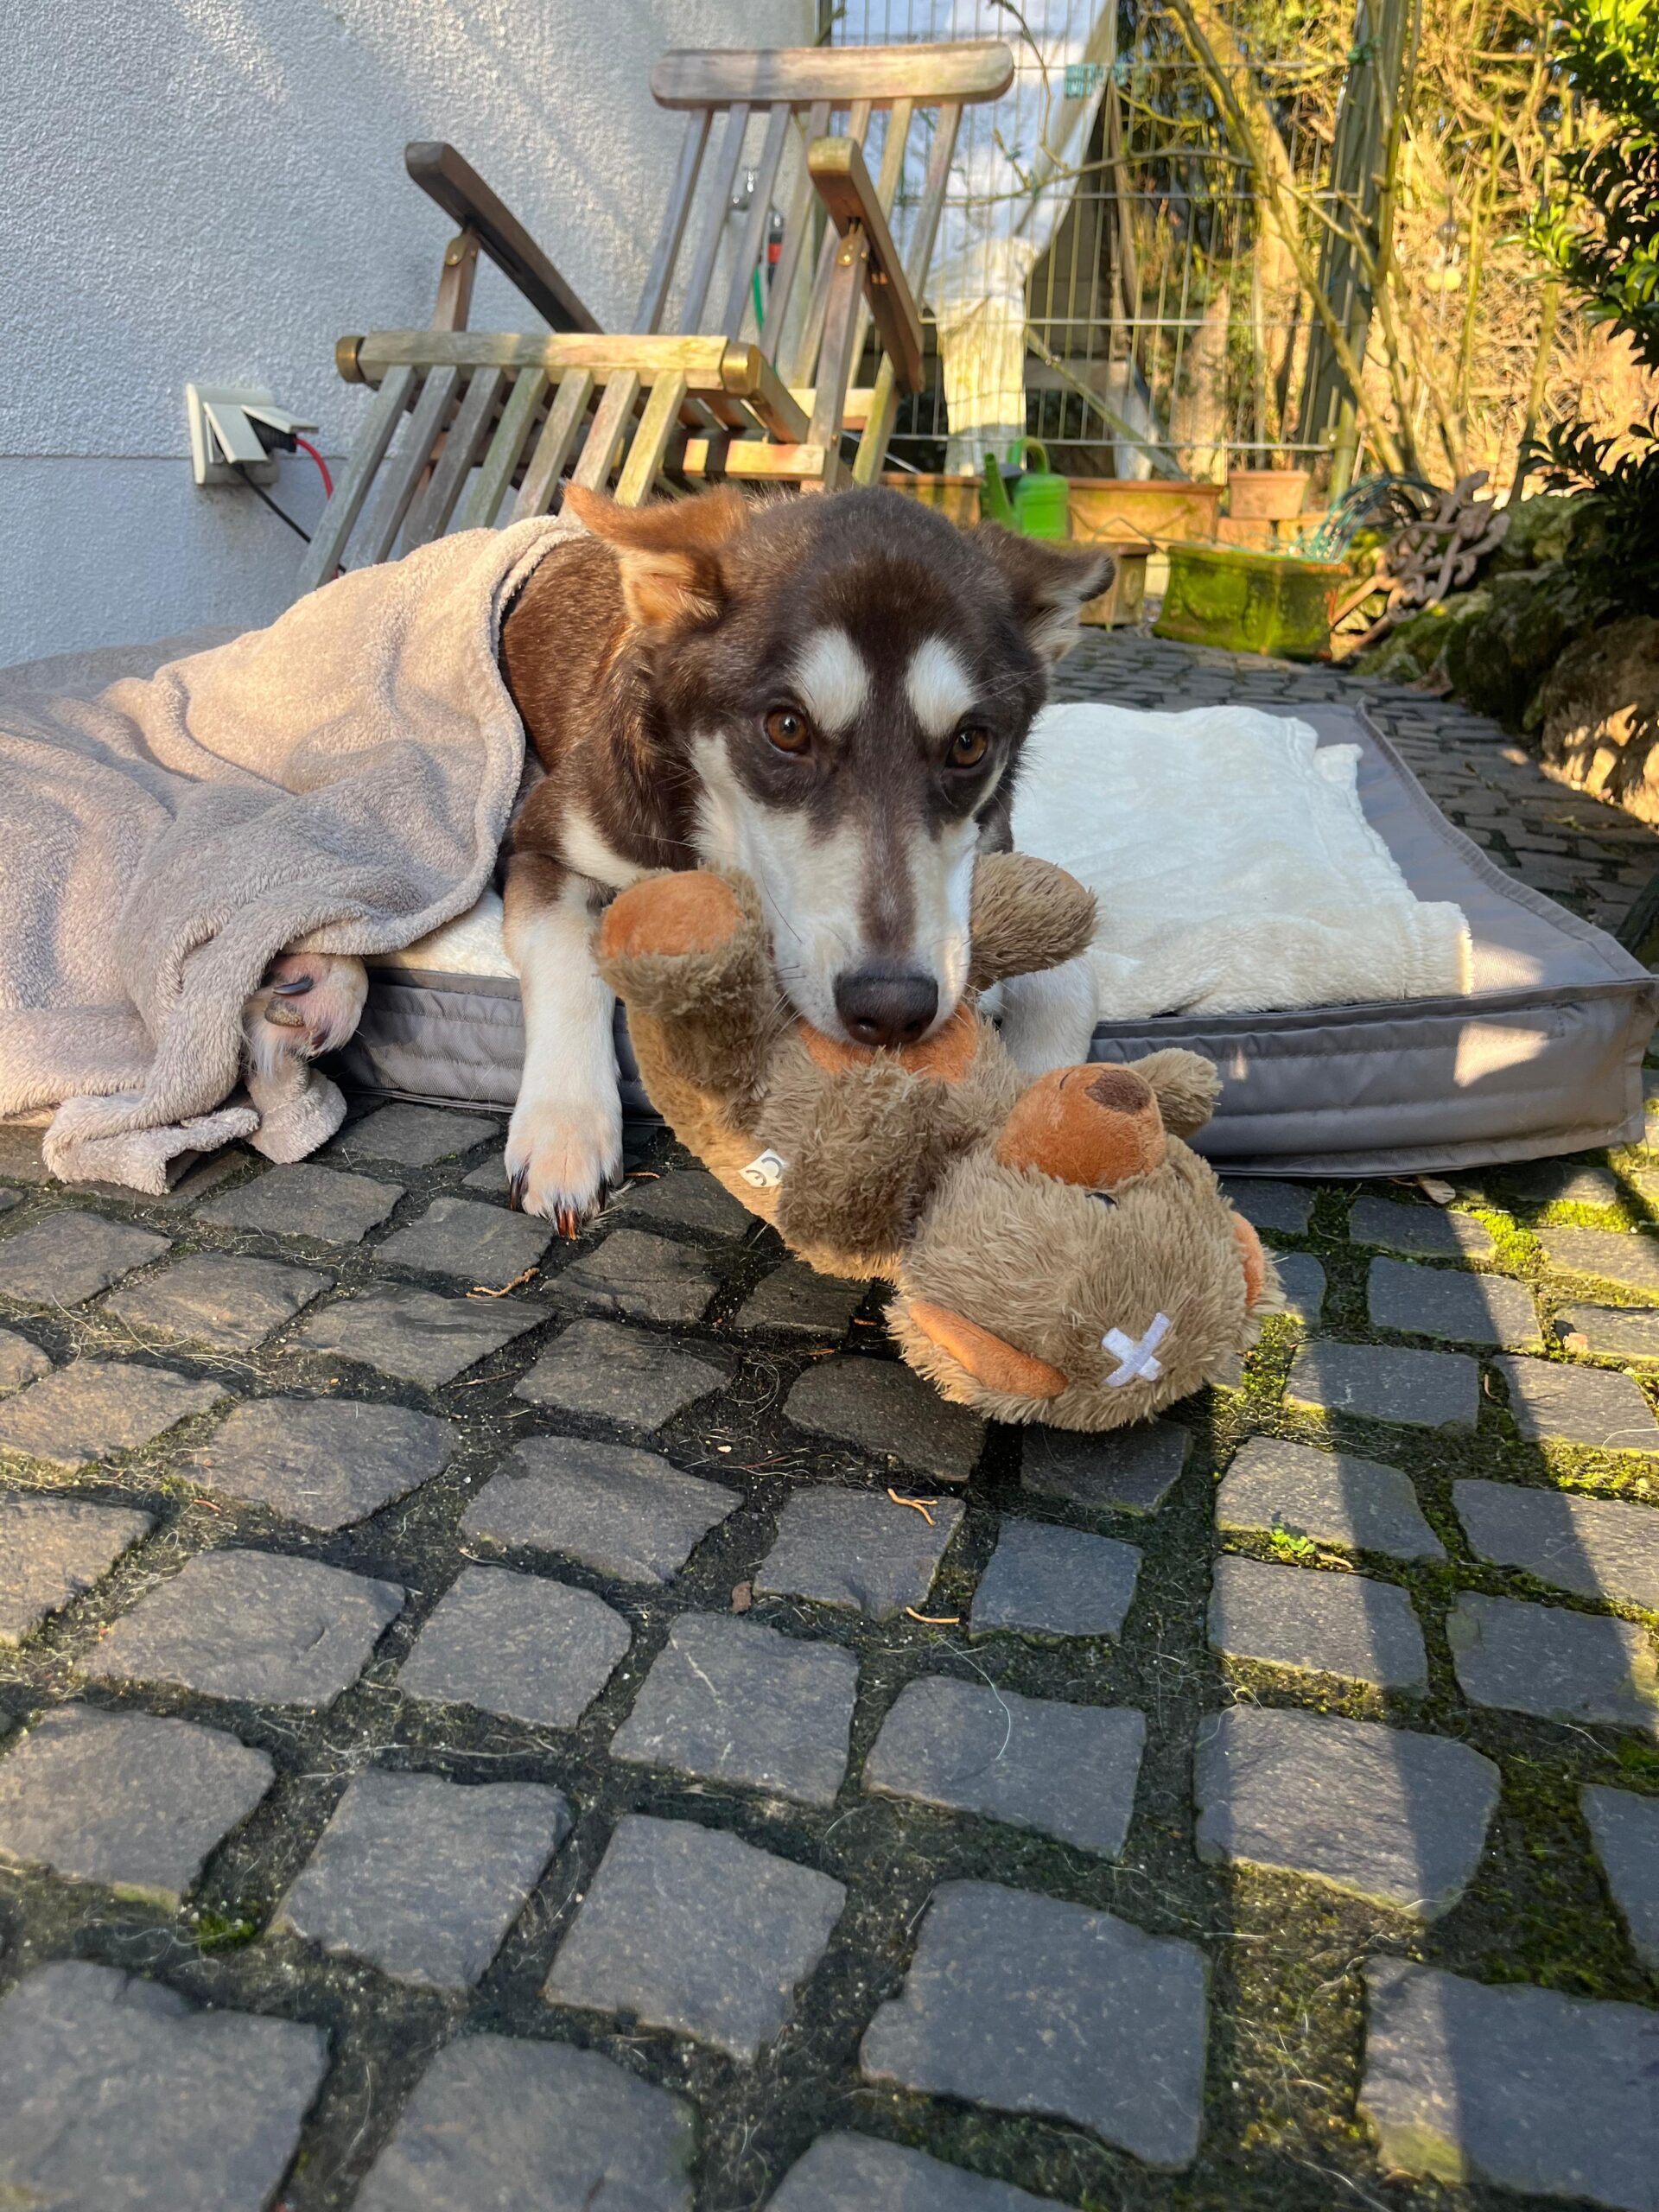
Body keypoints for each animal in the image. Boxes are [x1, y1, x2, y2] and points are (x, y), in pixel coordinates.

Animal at [245, 484, 1112, 1229]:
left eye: (969, 743)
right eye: (787, 728)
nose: (893, 1008)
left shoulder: (996, 856)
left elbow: (1071, 974)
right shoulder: (539, 841)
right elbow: (568, 957)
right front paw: (564, 1130)